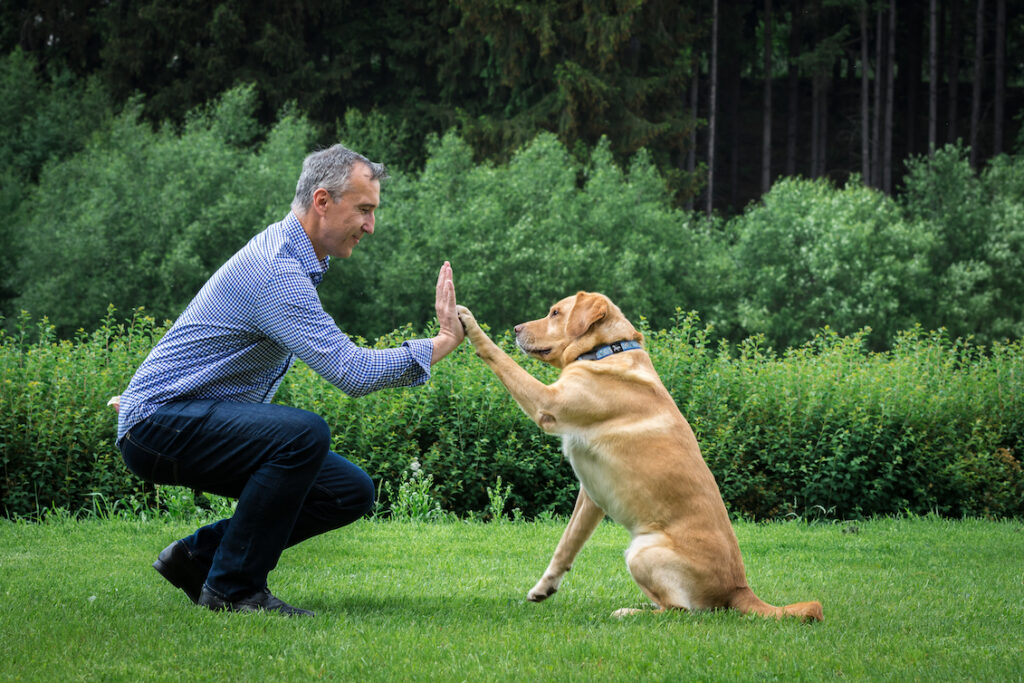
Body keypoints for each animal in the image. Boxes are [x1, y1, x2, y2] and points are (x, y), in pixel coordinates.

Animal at [458, 290, 823, 622]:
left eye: (555, 312)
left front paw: (469, 322)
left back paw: (629, 612)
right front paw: (544, 588)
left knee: (678, 611)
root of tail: (740, 588)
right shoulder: (591, 496)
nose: (516, 328)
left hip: (642, 551)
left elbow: (500, 359)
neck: (606, 352)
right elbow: (566, 544)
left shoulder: (547, 403)